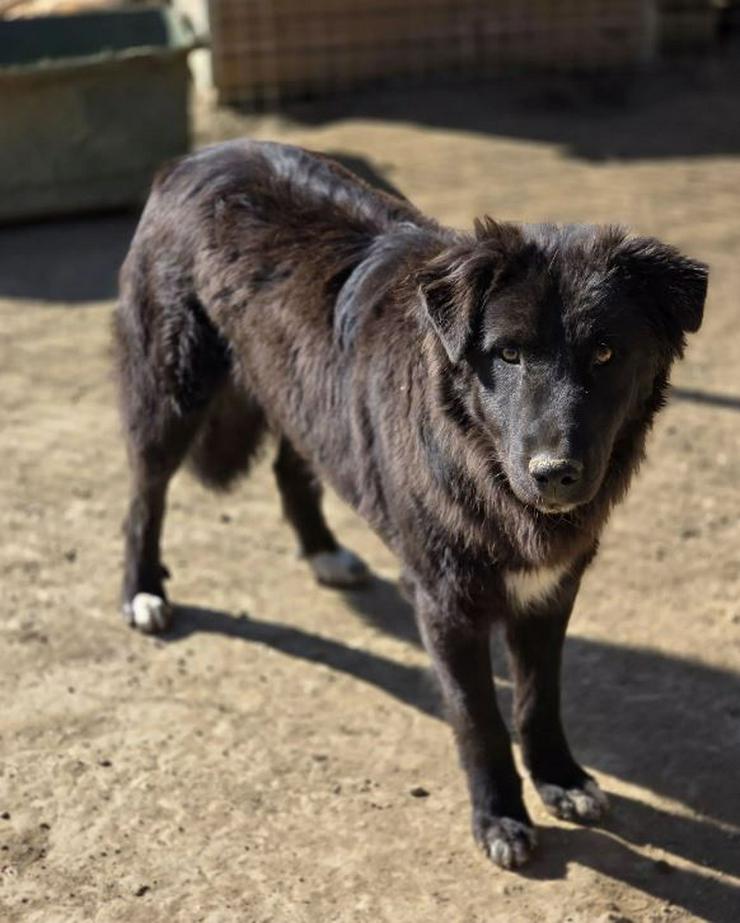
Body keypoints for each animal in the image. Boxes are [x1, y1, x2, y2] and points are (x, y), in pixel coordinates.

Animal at [114, 141, 704, 868]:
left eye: (605, 352)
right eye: (509, 354)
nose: (555, 474)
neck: (476, 457)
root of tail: (200, 154)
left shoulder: (549, 590)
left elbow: (539, 699)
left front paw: (560, 779)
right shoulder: (445, 603)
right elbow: (480, 719)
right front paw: (500, 817)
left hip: (302, 397)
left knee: (291, 464)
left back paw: (324, 553)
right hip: (171, 392)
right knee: (143, 498)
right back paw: (143, 592)